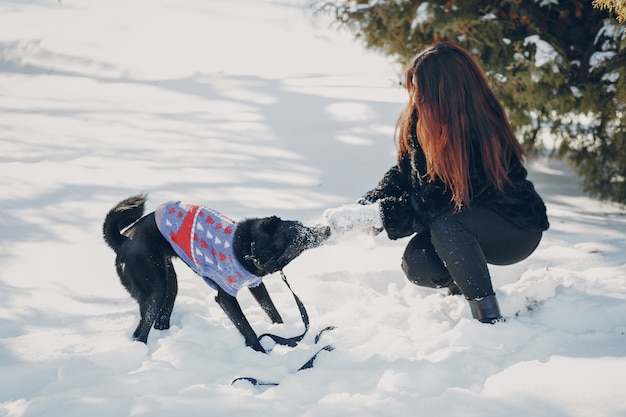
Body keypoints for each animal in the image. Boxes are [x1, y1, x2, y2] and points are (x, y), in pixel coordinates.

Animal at [103, 194, 326, 352]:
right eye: (301, 238)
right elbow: (247, 328)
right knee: (141, 332)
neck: (250, 247)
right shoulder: (225, 297)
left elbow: (271, 309)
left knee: (161, 317)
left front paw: (281, 332)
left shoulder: (256, 284)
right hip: (155, 287)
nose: (327, 230)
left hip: (169, 281)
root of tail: (124, 239)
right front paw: (261, 352)